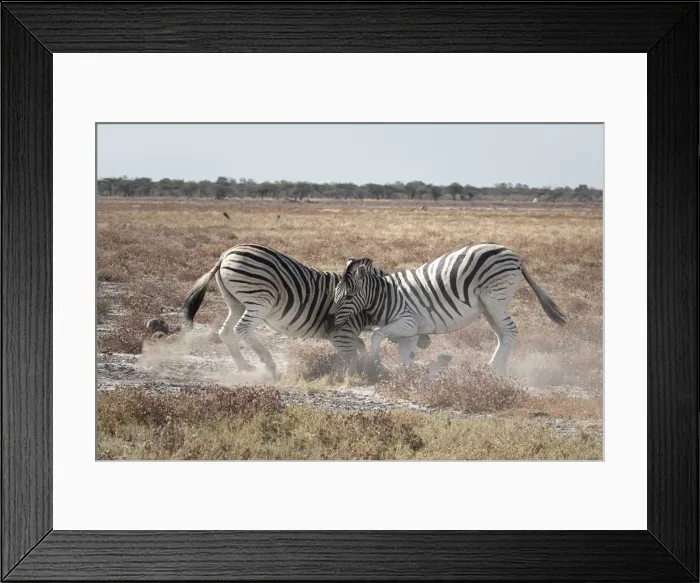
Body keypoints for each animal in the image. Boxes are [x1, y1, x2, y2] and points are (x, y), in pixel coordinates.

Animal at [183, 244, 430, 380]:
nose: (426, 343)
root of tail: (227, 253)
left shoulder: (347, 333)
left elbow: (359, 346)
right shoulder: (341, 333)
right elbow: (352, 356)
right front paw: (359, 375)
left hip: (236, 302)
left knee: (225, 331)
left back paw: (245, 367)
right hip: (259, 299)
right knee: (242, 329)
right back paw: (269, 366)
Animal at [326, 243, 566, 375]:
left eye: (348, 296)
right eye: (335, 294)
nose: (329, 322)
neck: (386, 297)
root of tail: (514, 254)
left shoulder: (407, 322)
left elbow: (376, 335)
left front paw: (375, 364)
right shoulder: (411, 333)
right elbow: (405, 356)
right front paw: (407, 376)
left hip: (495, 299)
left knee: (510, 331)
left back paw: (493, 369)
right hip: (488, 306)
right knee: (502, 334)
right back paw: (499, 368)